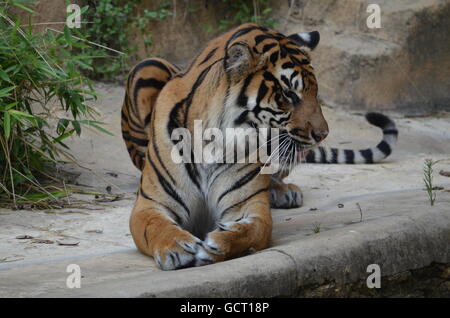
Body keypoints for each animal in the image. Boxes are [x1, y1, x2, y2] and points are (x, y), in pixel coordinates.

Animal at [120, 23, 398, 270]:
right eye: (289, 94)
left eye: (315, 92)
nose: (323, 134)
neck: (213, 138)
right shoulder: (150, 205)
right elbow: (155, 226)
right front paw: (176, 248)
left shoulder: (249, 206)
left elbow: (252, 230)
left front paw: (218, 243)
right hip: (147, 66)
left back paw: (283, 191)